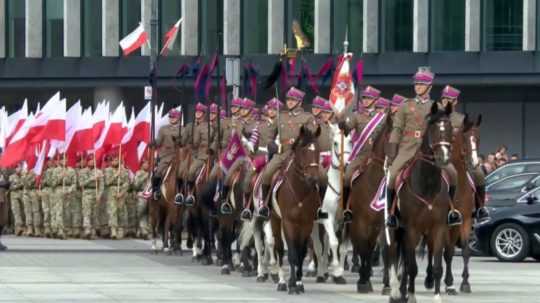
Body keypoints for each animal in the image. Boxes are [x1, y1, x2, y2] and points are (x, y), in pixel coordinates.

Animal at [264, 125, 320, 294]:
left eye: (318, 151)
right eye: (303, 150)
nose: (313, 179)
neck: (300, 191)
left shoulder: (306, 224)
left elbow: (301, 253)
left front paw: (299, 283)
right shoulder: (288, 223)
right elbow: (292, 253)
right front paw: (292, 284)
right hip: (275, 219)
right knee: (279, 249)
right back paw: (282, 282)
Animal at [310, 122, 352, 284]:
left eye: (350, 141)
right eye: (335, 143)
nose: (346, 164)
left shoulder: (343, 222)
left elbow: (342, 247)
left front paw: (338, 273)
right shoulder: (327, 219)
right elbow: (333, 243)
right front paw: (336, 270)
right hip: (315, 223)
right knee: (318, 245)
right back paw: (320, 273)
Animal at [346, 111, 392, 294]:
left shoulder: (381, 224)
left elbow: (383, 250)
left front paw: (386, 284)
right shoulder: (360, 222)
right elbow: (363, 248)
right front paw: (363, 280)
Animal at [388, 102, 456, 303]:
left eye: (450, 128)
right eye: (433, 128)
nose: (443, 158)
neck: (427, 183)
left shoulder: (438, 228)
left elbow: (437, 266)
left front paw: (437, 297)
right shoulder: (411, 229)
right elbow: (411, 267)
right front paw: (411, 296)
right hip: (396, 229)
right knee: (393, 255)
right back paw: (395, 291)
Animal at [426, 113, 486, 294]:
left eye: (478, 138)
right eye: (465, 138)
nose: (474, 163)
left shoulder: (464, 219)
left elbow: (464, 250)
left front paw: (464, 283)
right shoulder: (445, 223)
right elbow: (446, 252)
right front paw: (449, 282)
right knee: (431, 248)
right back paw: (429, 279)